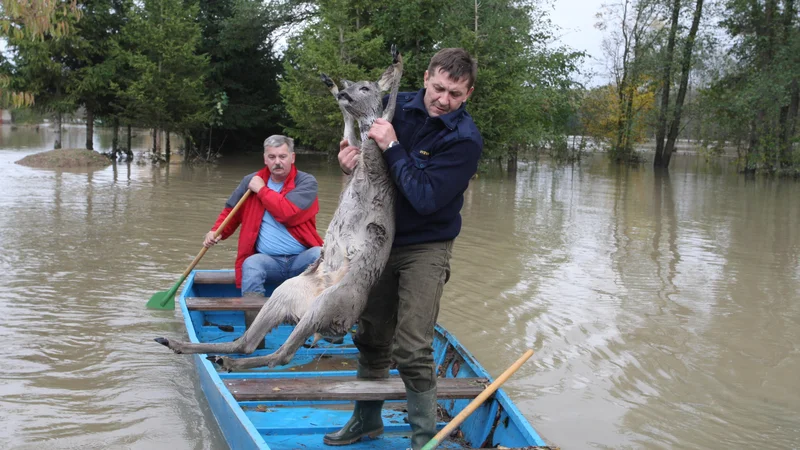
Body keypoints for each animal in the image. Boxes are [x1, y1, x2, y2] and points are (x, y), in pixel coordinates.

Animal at [157, 45, 404, 370]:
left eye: (365, 88)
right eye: (350, 85)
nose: (344, 92)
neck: (364, 168)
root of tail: (337, 327)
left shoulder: (375, 154)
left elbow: (388, 110)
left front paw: (398, 62)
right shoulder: (353, 153)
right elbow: (348, 131)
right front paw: (330, 83)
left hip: (327, 303)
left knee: (280, 354)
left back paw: (225, 360)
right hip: (285, 293)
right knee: (247, 342)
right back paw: (184, 346)